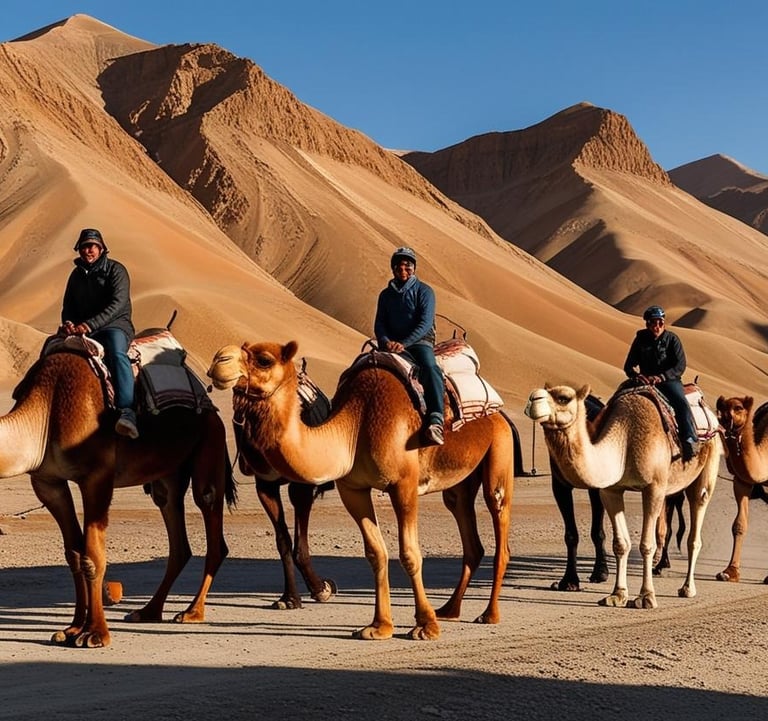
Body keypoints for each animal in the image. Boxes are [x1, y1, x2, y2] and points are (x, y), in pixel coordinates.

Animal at [2, 349, 235, 648]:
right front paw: (72, 629)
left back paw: (192, 612)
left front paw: (95, 633)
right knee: (177, 534)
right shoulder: (48, 482)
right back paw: (148, 611)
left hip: (210, 444)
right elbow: (74, 554)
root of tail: (212, 409)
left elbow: (92, 556)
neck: (47, 408)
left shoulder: (97, 477)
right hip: (167, 477)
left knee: (210, 512)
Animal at [208, 340, 517, 641]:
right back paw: (449, 610)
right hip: (459, 483)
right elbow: (375, 553)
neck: (357, 423)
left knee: (498, 514)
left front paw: (425, 627)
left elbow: (410, 553)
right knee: (468, 532)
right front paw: (379, 627)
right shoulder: (353, 489)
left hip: (499, 453)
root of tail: (499, 412)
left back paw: (489, 614)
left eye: (264, 360)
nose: (218, 361)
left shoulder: (403, 484)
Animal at [525, 384, 722, 609]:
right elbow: (620, 544)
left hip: (707, 468)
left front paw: (646, 597)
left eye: (564, 398)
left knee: (695, 525)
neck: (625, 439)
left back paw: (688, 588)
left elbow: (647, 544)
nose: (533, 398)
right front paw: (617, 595)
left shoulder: (653, 488)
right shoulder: (611, 490)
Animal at [715, 395, 768, 584]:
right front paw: (729, 572)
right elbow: (739, 524)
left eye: (738, 408)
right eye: (721, 406)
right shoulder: (742, 482)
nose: (723, 417)